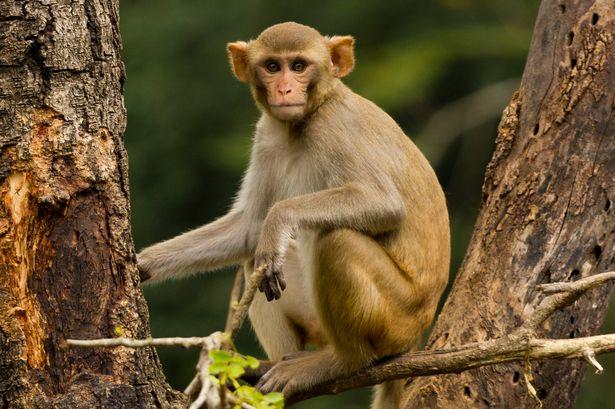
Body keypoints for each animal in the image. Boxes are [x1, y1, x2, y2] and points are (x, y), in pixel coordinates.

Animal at [137, 22, 450, 408]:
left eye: (299, 66)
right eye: (273, 67)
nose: (285, 89)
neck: (301, 123)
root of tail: (414, 336)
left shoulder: (335, 129)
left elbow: (383, 202)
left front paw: (278, 220)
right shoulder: (266, 135)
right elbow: (249, 230)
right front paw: (142, 264)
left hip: (395, 319)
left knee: (336, 238)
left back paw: (342, 361)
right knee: (255, 259)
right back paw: (272, 363)